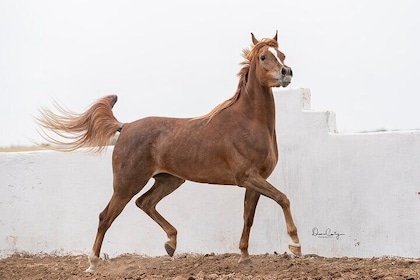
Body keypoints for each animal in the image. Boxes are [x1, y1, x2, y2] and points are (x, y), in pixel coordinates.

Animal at [37, 31, 298, 272]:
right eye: (263, 57)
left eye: (282, 55)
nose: (286, 72)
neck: (246, 122)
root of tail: (125, 126)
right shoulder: (247, 176)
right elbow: (283, 198)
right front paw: (295, 245)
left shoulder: (255, 180)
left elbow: (248, 217)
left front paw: (244, 256)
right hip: (127, 184)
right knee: (106, 216)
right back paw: (92, 264)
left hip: (169, 180)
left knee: (145, 203)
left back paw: (171, 243)